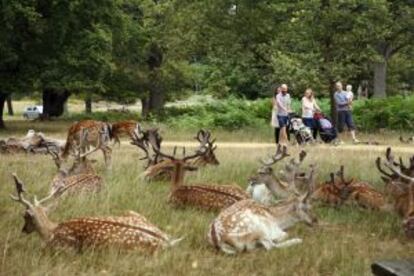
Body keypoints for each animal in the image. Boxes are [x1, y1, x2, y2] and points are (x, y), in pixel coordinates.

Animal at [9, 175, 181, 252]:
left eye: (25, 216)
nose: (24, 230)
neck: (50, 231)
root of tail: (167, 241)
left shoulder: (64, 248)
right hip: (134, 212)